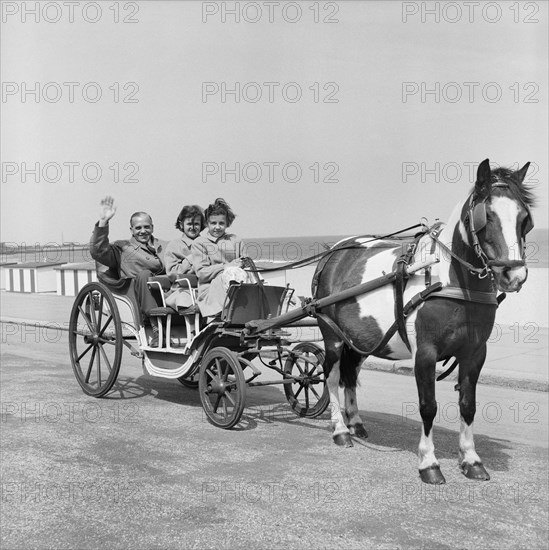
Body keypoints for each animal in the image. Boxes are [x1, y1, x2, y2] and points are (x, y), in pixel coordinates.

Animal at [314, 158, 532, 484]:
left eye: (524, 218)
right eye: (487, 215)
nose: (513, 274)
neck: (450, 280)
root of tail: (333, 253)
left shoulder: (475, 352)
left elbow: (468, 406)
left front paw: (471, 459)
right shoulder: (425, 353)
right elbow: (428, 407)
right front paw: (429, 462)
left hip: (361, 339)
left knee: (350, 375)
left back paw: (356, 422)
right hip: (333, 336)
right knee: (332, 376)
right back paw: (340, 430)